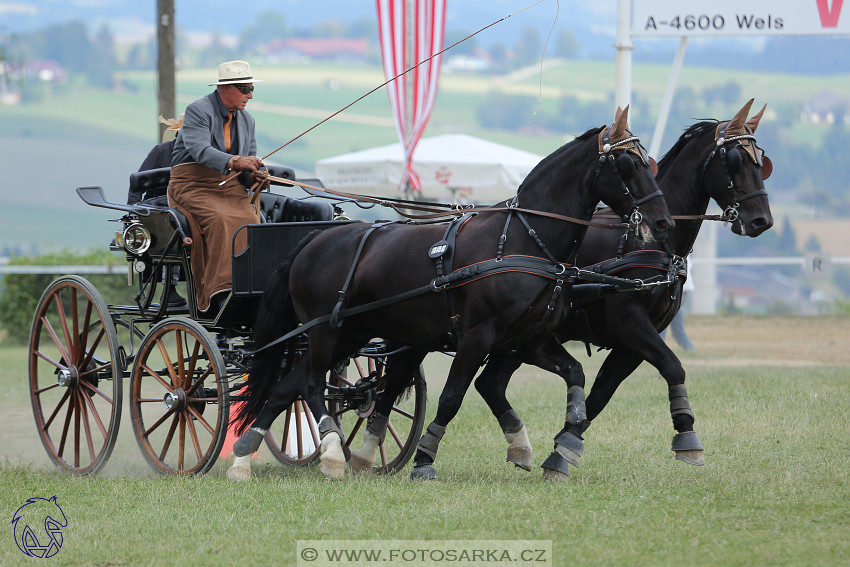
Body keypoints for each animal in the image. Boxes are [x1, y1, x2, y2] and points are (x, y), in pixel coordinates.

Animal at [229, 106, 672, 480]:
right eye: (628, 163)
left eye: (650, 163)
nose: (663, 223)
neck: (524, 240)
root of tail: (314, 240)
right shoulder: (477, 336)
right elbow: (453, 397)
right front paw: (425, 459)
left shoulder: (528, 339)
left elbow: (573, 373)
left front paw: (558, 439)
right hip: (325, 331)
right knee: (309, 384)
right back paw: (334, 453)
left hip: (351, 333)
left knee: (288, 385)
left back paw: (244, 456)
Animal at [470, 97, 776, 480]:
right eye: (735, 160)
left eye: (760, 161)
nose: (762, 220)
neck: (653, 243)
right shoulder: (630, 323)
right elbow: (673, 366)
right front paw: (687, 437)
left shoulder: (633, 340)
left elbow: (601, 393)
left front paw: (563, 447)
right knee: (488, 382)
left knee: (490, 383)